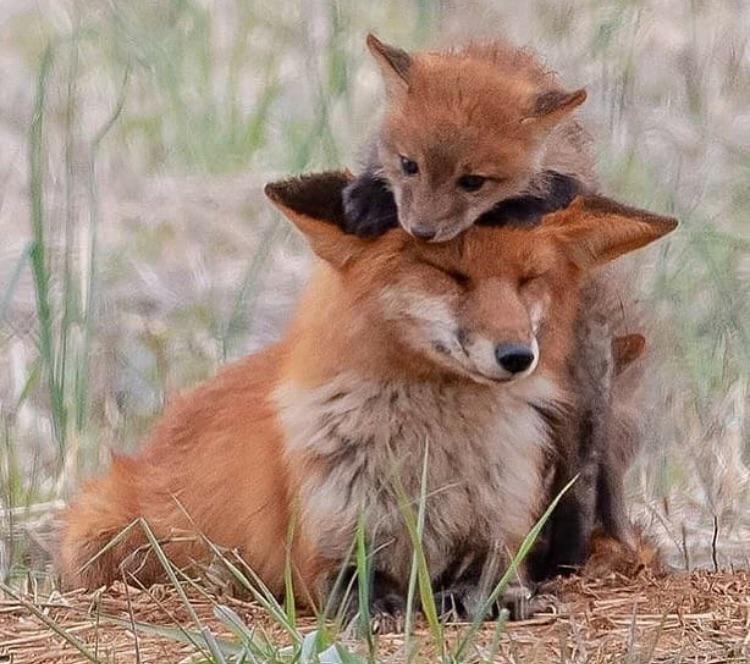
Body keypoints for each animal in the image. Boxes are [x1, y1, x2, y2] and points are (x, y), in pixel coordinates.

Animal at [59, 171, 676, 627]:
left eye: (529, 280)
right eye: (450, 274)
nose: (517, 355)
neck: (434, 463)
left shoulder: (501, 526)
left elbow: (490, 578)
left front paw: (498, 600)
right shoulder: (326, 545)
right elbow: (356, 587)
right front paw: (383, 608)